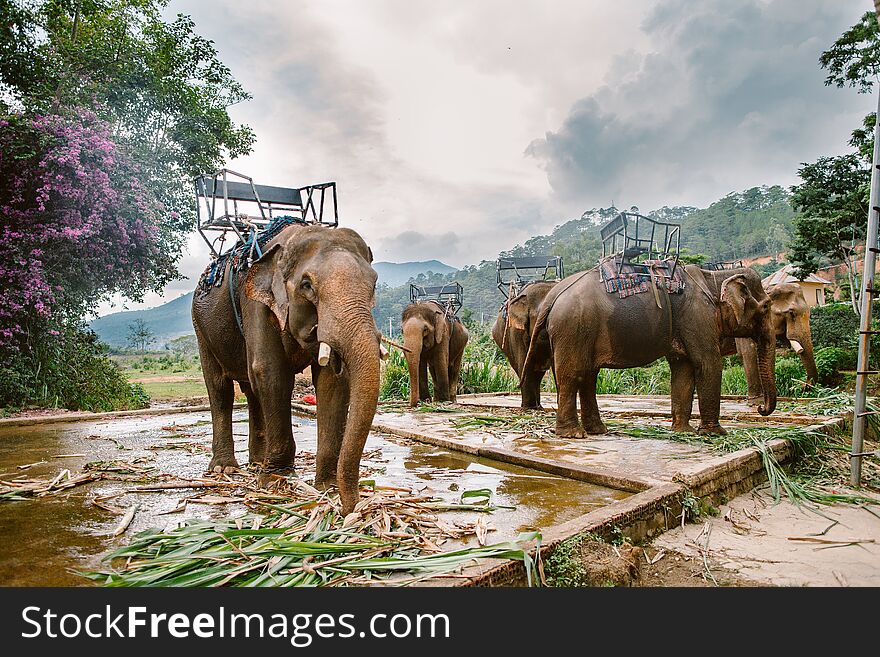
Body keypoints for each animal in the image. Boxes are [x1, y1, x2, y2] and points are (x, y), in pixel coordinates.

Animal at [191, 224, 384, 512]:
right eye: (307, 285)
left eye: (373, 283)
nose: (351, 508)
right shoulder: (256, 305)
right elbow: (270, 372)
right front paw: (275, 482)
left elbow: (332, 381)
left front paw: (327, 487)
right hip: (201, 329)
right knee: (220, 389)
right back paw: (225, 469)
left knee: (251, 392)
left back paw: (257, 462)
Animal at [524, 264, 776, 438]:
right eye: (766, 307)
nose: (760, 409)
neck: (713, 276)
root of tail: (552, 297)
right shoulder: (697, 315)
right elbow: (708, 363)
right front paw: (715, 433)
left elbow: (683, 368)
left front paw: (683, 432)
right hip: (574, 328)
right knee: (572, 376)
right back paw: (574, 435)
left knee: (588, 376)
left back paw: (598, 431)